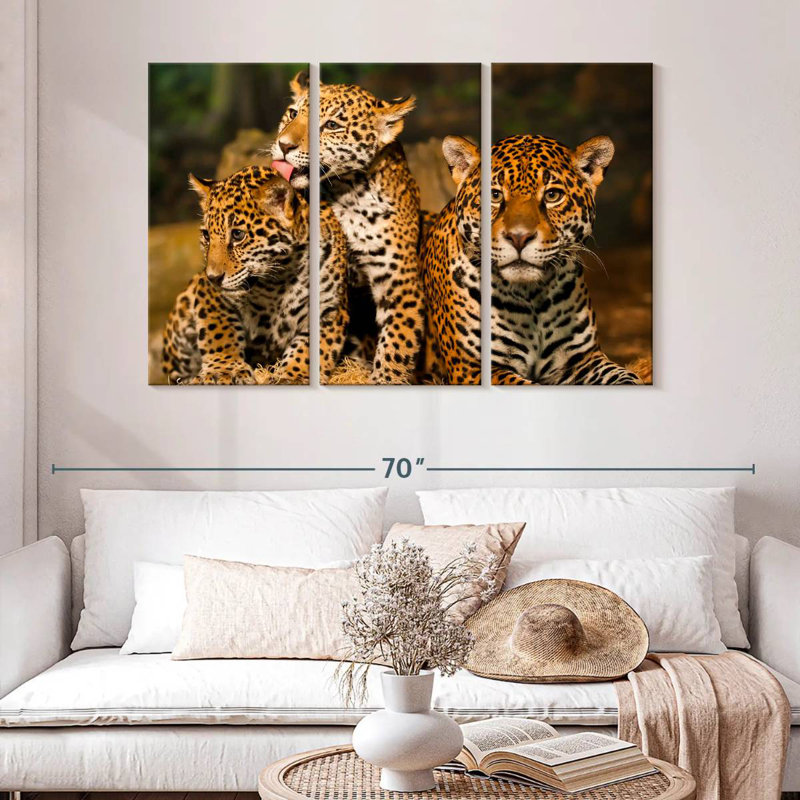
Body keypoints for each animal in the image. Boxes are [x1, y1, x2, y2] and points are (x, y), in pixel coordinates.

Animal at [161, 165, 348, 385]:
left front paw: (293, 375)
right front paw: (223, 370)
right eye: (207, 235)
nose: (213, 277)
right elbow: (219, 331)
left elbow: (310, 348)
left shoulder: (329, 308)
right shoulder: (210, 294)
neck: (279, 279)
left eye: (238, 235)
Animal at [271, 72, 425, 385]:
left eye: (331, 125)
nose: (283, 145)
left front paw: (385, 379)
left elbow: (396, 345)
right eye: (292, 114)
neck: (346, 193)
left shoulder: (401, 285)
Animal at [490, 134, 642, 385]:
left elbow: (624, 376)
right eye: (495, 195)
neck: (533, 297)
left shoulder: (582, 360)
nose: (518, 237)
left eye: (552, 195)